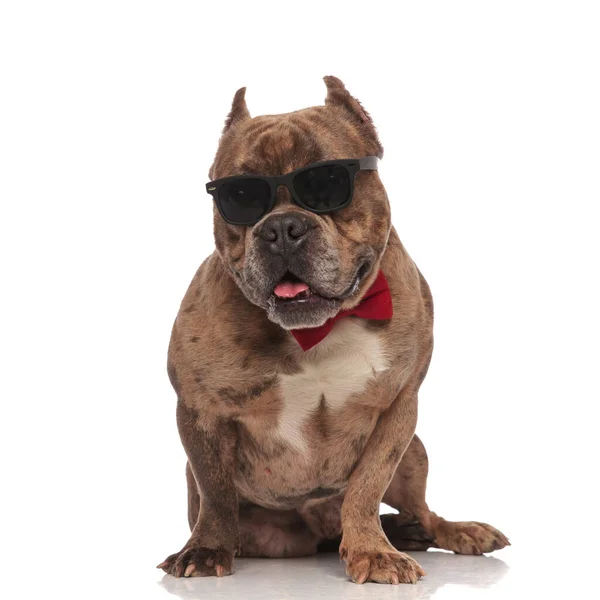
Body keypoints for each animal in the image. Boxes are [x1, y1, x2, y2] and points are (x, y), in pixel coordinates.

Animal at [157, 76, 508, 584]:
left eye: (326, 182)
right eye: (239, 196)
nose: (282, 227)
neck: (318, 329)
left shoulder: (399, 408)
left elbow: (367, 485)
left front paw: (373, 551)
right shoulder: (201, 412)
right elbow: (215, 493)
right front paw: (205, 549)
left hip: (416, 456)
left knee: (423, 511)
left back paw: (452, 532)